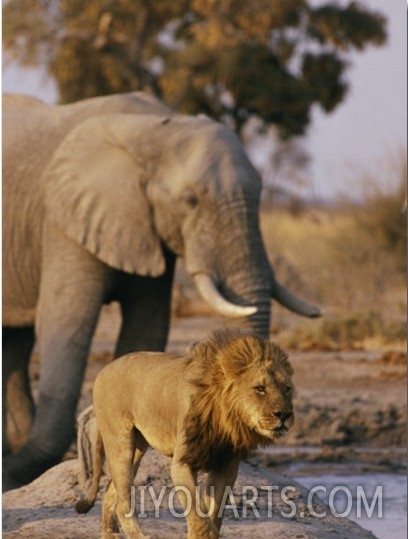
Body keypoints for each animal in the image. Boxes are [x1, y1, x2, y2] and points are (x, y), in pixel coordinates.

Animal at [75, 330, 294, 539]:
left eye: (287, 389)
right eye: (260, 389)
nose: (284, 415)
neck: (225, 420)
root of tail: (106, 368)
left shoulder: (226, 466)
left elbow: (213, 514)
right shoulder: (183, 463)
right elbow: (199, 517)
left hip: (137, 447)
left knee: (111, 492)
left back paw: (110, 533)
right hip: (121, 445)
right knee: (123, 500)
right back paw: (138, 536)